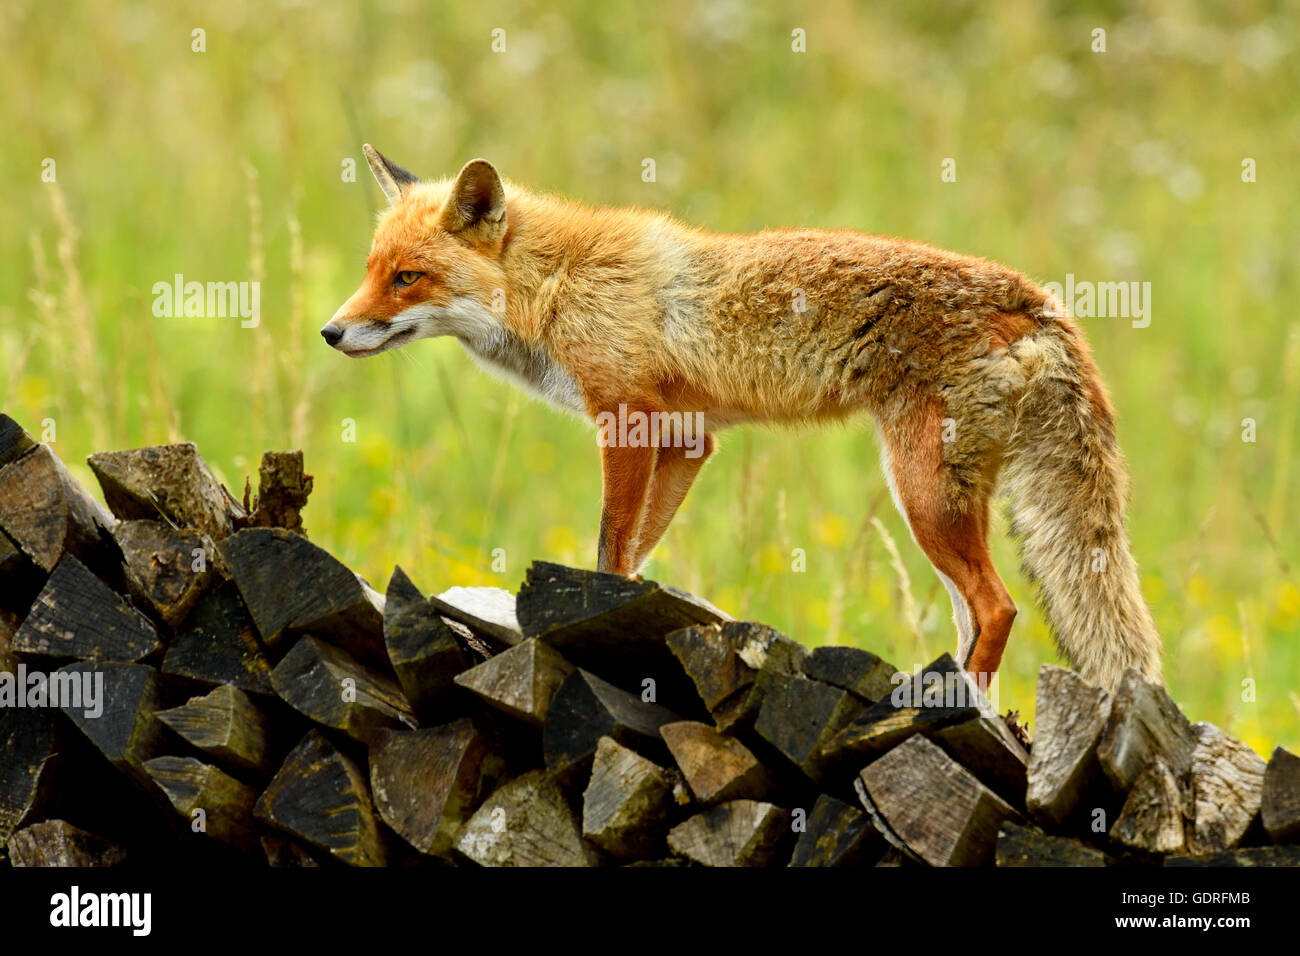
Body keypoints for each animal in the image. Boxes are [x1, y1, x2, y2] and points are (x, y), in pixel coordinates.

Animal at [323, 144, 1163, 692]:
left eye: (407, 278)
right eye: (370, 270)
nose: (331, 332)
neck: (558, 285)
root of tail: (1035, 299)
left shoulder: (624, 419)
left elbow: (608, 546)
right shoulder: (687, 440)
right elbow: (635, 553)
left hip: (922, 493)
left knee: (1000, 607)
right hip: (942, 504)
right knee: (976, 614)